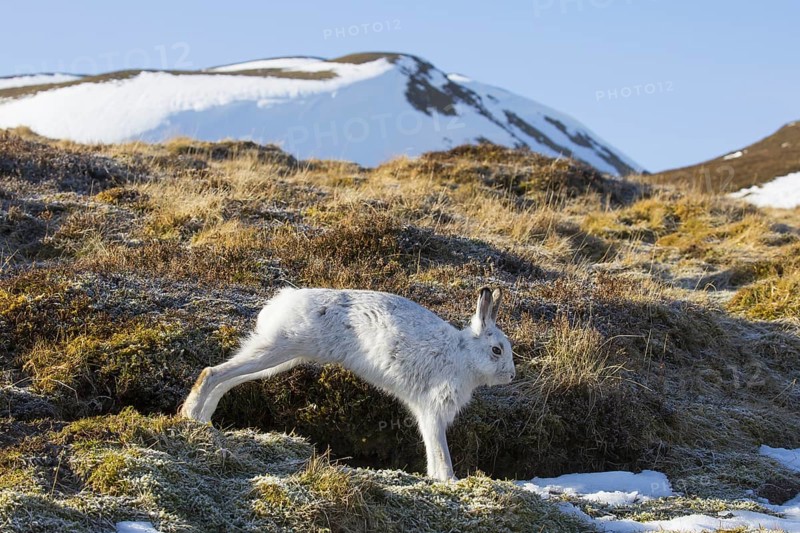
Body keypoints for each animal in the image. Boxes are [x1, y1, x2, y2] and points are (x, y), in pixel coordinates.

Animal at [180, 286, 514, 481]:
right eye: (497, 350)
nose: (511, 375)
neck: (463, 354)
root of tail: (280, 302)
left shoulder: (426, 411)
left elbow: (432, 449)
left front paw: (436, 478)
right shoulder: (433, 407)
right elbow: (440, 449)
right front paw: (448, 480)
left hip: (281, 357)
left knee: (226, 379)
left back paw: (203, 419)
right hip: (280, 346)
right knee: (212, 372)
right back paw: (190, 413)